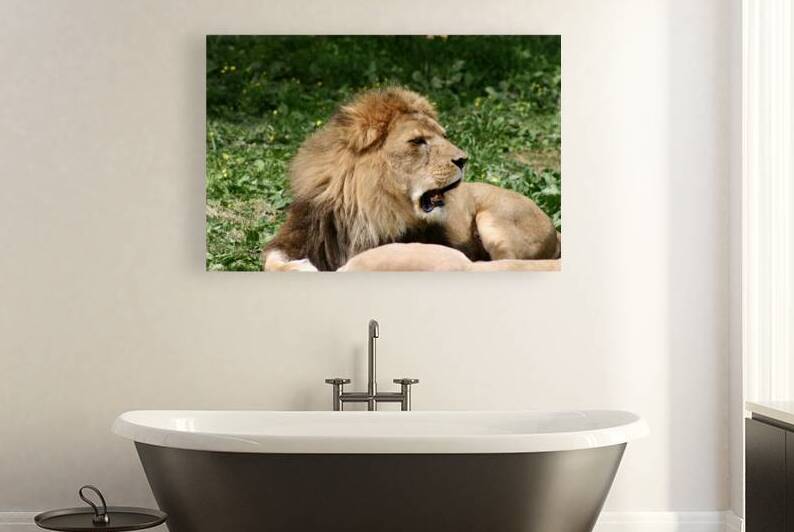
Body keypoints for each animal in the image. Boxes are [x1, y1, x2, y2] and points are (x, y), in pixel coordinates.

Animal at [262, 87, 560, 272]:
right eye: (418, 141)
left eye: (443, 136)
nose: (463, 159)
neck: (366, 208)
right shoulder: (300, 237)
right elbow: (270, 260)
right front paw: (301, 266)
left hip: (495, 222)